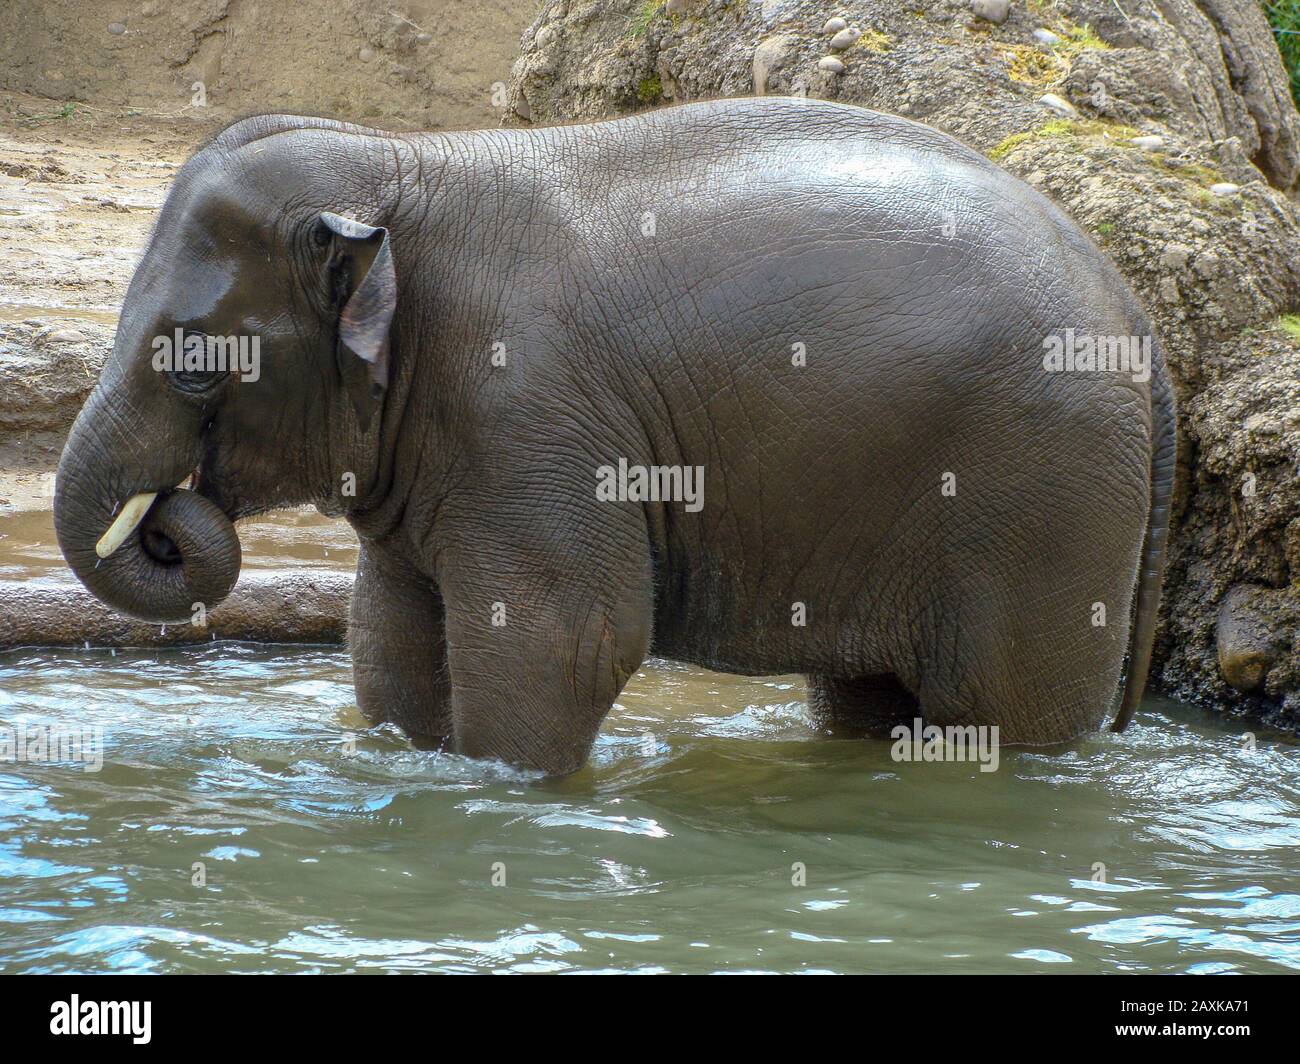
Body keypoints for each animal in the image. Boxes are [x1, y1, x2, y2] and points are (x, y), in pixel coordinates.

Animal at [55, 97, 1180, 770]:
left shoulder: (528, 413)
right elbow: (390, 638)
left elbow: (567, 642)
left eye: (193, 362)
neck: (399, 164)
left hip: (1042, 499)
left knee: (1002, 712)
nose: (166, 522)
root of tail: (1137, 318)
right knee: (864, 699)